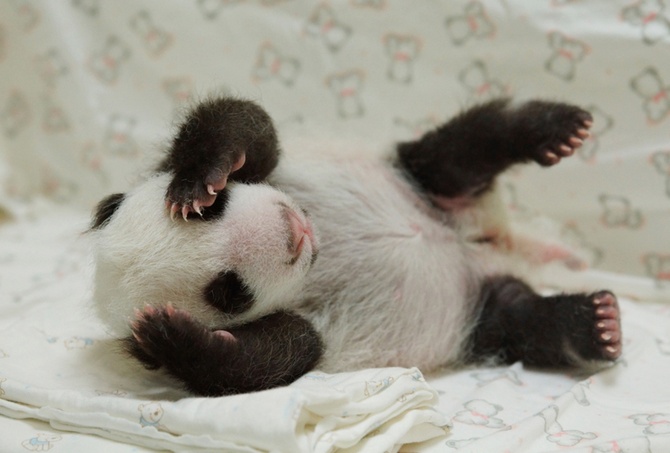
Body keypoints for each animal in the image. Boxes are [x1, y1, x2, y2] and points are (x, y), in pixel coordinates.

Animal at [90, 96, 624, 396]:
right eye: (229, 291)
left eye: (218, 209)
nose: (291, 231)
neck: (318, 254)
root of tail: (490, 245)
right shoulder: (299, 327)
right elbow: (265, 362)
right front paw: (169, 337)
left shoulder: (273, 172)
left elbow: (246, 126)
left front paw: (199, 179)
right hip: (477, 317)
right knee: (520, 320)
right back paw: (595, 324)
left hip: (414, 178)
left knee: (462, 148)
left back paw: (555, 130)